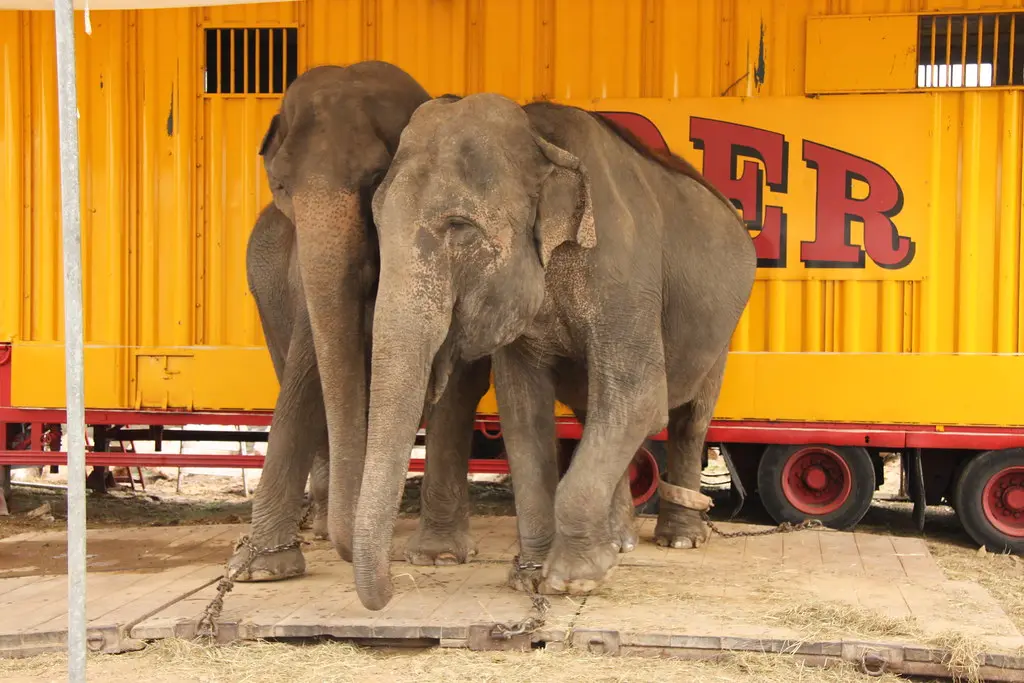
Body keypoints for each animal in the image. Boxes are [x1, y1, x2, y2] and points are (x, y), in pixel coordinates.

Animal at [229, 62, 491, 581]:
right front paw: (261, 568)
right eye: (281, 185)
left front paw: (439, 555)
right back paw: (320, 523)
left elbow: (455, 379)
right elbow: (306, 370)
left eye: (374, 178)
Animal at [353, 92, 756, 610]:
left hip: (723, 329)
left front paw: (573, 580)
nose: (391, 591)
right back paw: (620, 541)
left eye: (460, 226)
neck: (539, 137)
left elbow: (642, 397)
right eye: (376, 222)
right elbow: (523, 413)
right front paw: (529, 577)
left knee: (689, 418)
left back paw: (680, 538)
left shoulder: (624, 276)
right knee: (598, 413)